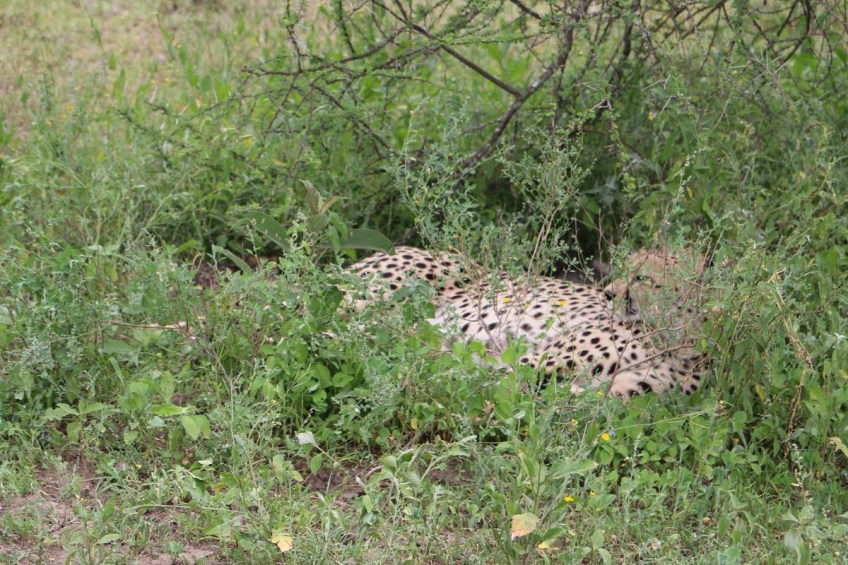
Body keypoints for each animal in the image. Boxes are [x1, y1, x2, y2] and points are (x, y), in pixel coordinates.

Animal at [347, 245, 710, 399]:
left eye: (644, 277)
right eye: (624, 268)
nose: (608, 293)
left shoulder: (628, 393)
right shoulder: (531, 363)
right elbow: (498, 378)